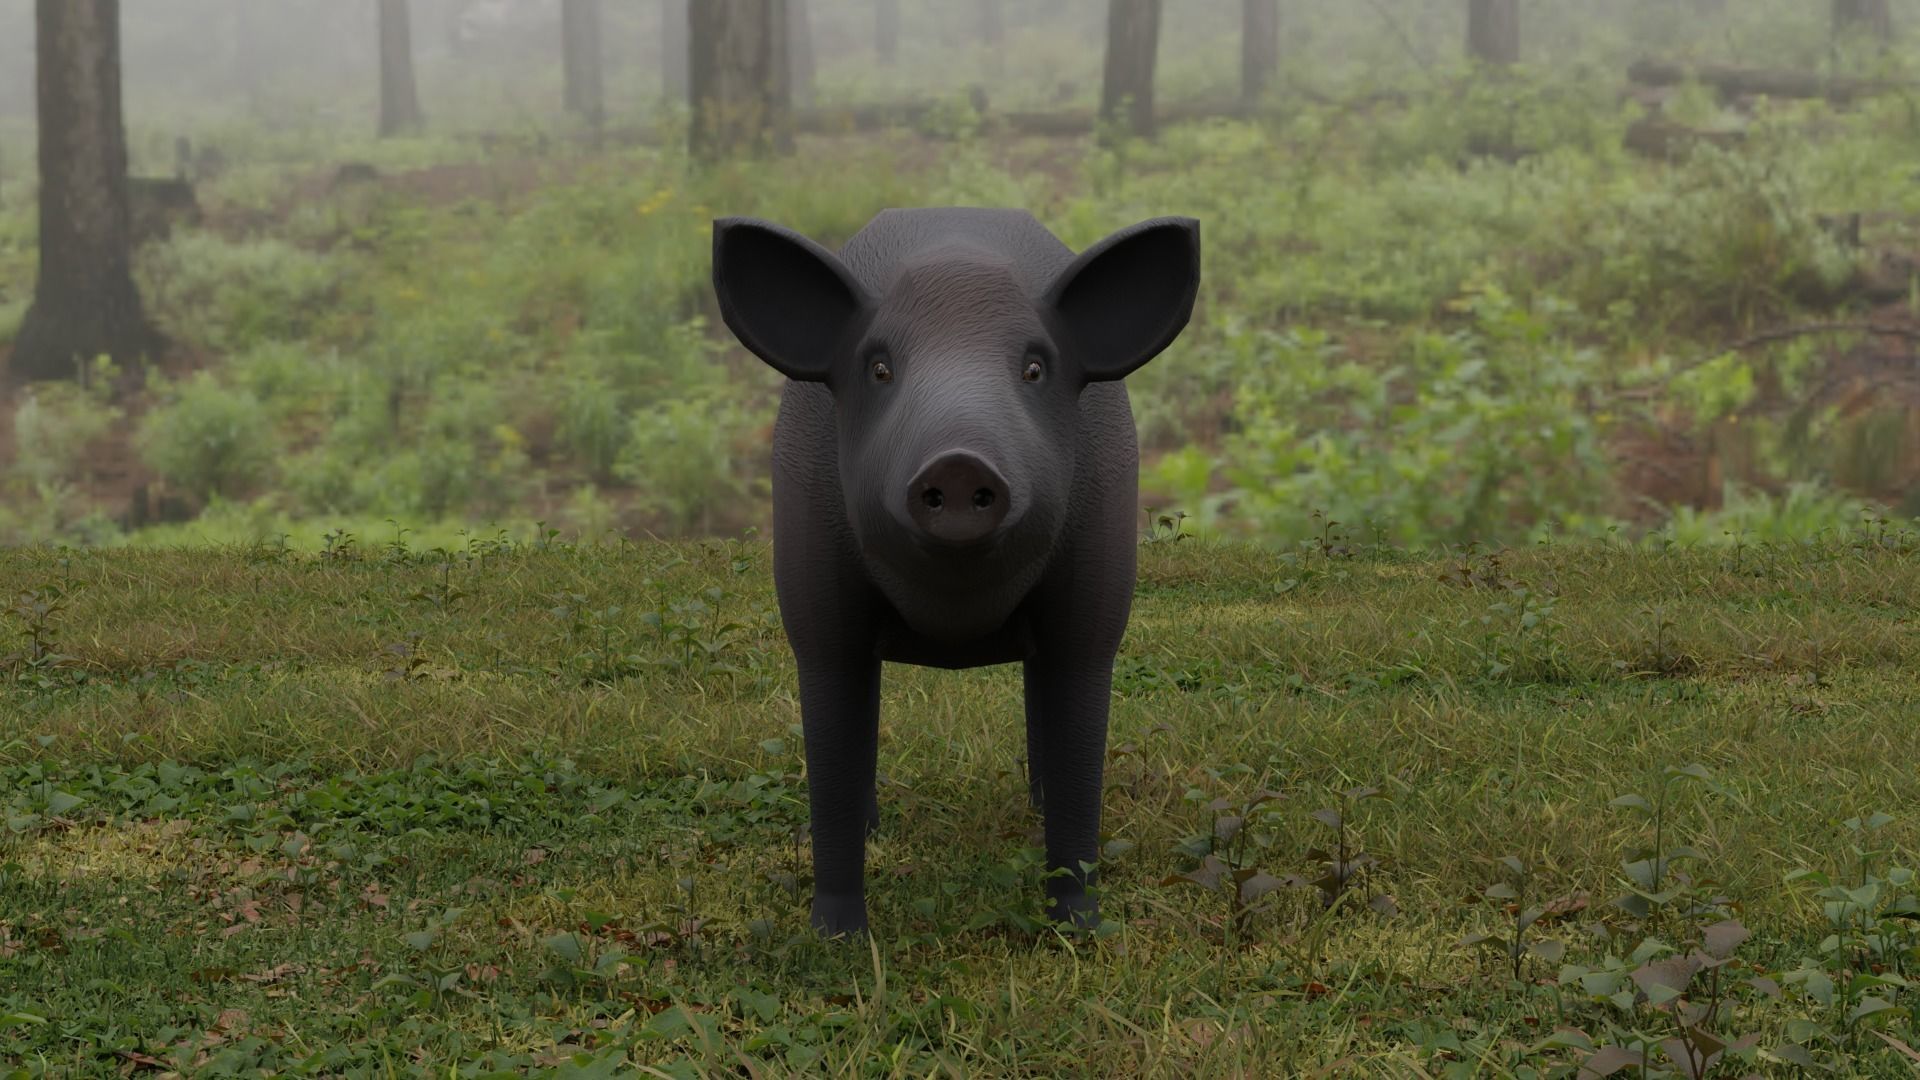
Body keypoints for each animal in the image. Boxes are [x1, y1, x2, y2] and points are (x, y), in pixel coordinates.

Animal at [710, 208, 1201, 936]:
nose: (960, 461)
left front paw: (1078, 931)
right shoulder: (816, 609)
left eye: (1035, 367)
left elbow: (1079, 739)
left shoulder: (1095, 606)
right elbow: (833, 740)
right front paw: (837, 938)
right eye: (879, 367)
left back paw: (1032, 808)